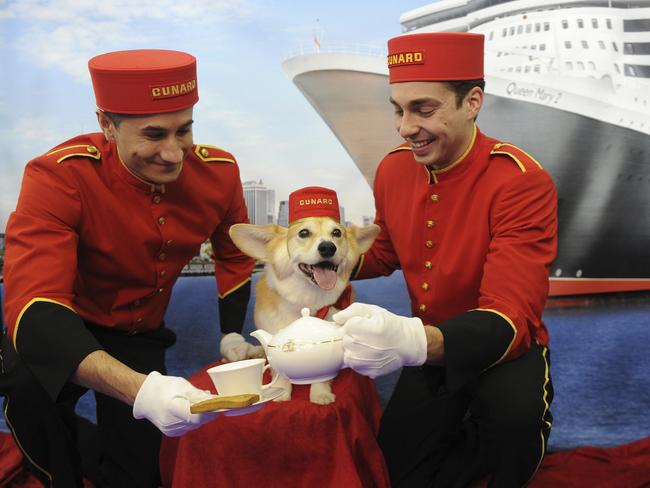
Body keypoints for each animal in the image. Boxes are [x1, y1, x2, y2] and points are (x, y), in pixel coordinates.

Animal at [228, 217, 380, 404]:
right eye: (304, 233)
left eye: (337, 232)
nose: (328, 247)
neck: (306, 301)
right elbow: (280, 373)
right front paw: (281, 393)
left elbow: (322, 375)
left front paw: (320, 394)